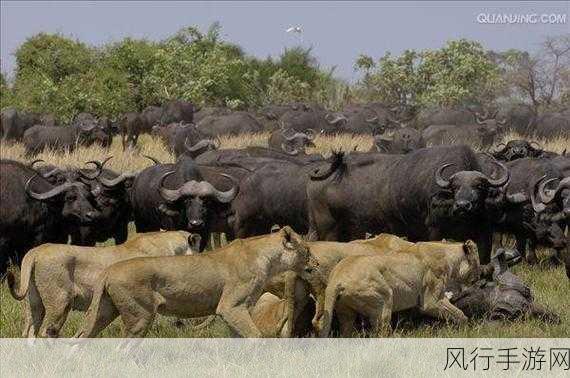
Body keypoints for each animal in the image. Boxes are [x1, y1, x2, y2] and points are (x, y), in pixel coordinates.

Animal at [72, 226, 316, 338]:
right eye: (307, 249)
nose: (316, 262)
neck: (269, 258)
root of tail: (108, 270)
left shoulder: (237, 311)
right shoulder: (231, 307)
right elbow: (255, 336)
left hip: (104, 311)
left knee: (81, 337)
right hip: (139, 316)